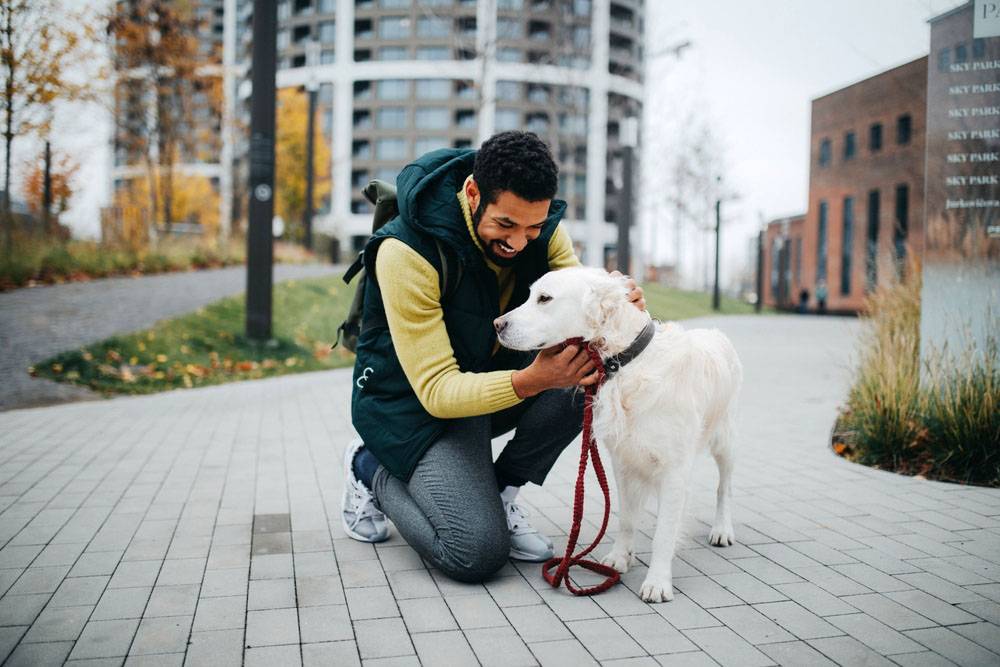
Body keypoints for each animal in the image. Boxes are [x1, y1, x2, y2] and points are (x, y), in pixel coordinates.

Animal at [494, 268, 744, 604]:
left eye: (544, 298)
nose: (497, 325)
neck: (625, 363)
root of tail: (716, 333)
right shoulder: (623, 462)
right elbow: (626, 517)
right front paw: (620, 557)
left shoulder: (674, 470)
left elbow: (664, 532)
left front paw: (658, 582)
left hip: (725, 439)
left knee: (724, 487)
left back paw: (722, 529)